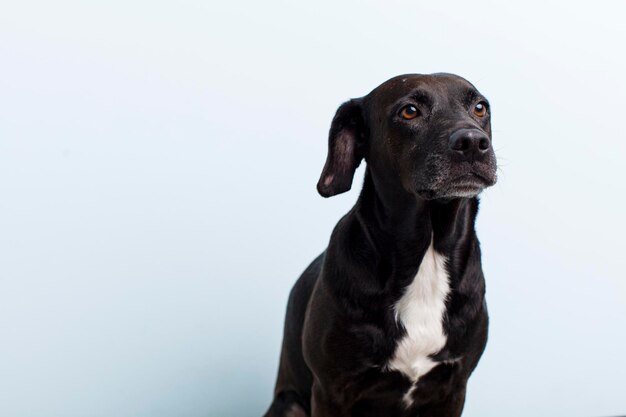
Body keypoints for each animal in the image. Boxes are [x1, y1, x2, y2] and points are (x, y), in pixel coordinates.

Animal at [264, 73, 498, 414]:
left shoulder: (453, 388)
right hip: (291, 404)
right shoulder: (330, 391)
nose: (473, 143)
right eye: (409, 111)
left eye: (480, 107)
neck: (427, 252)